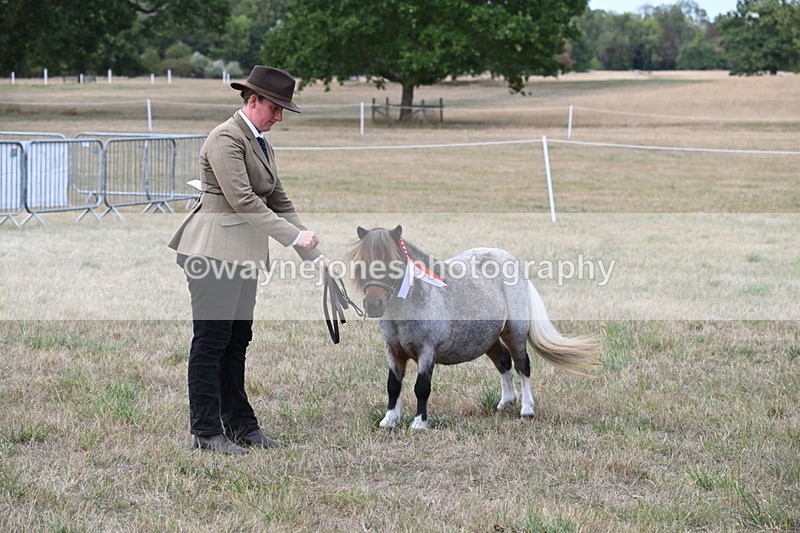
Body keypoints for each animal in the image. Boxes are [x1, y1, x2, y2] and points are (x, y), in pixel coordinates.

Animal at [347, 224, 598, 430]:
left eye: (394, 263)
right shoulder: (393, 351)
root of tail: (511, 260)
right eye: (362, 263)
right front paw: (389, 420)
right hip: (488, 338)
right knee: (504, 362)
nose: (373, 304)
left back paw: (527, 409)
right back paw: (505, 402)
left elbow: (421, 387)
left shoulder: (427, 351)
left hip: (515, 333)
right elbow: (393, 385)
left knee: (522, 366)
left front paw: (419, 423)